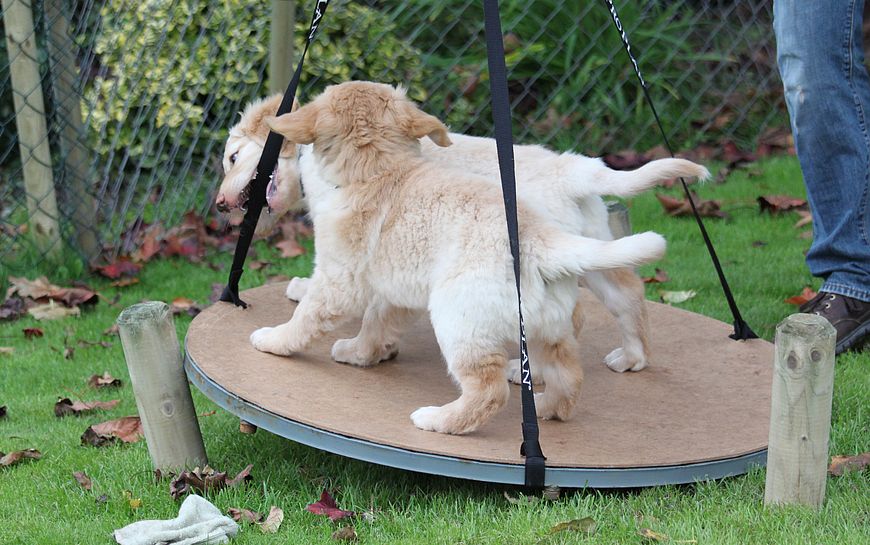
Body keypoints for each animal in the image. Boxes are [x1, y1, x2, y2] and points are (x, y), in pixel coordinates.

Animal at [248, 81, 679, 434]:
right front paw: (361, 352)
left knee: (489, 390)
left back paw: (440, 420)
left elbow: (307, 315)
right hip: (547, 325)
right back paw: (547, 406)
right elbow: (376, 323)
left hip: (459, 319)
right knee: (572, 369)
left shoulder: (341, 279)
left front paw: (275, 339)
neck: (377, 168)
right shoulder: (395, 289)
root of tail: (539, 240)